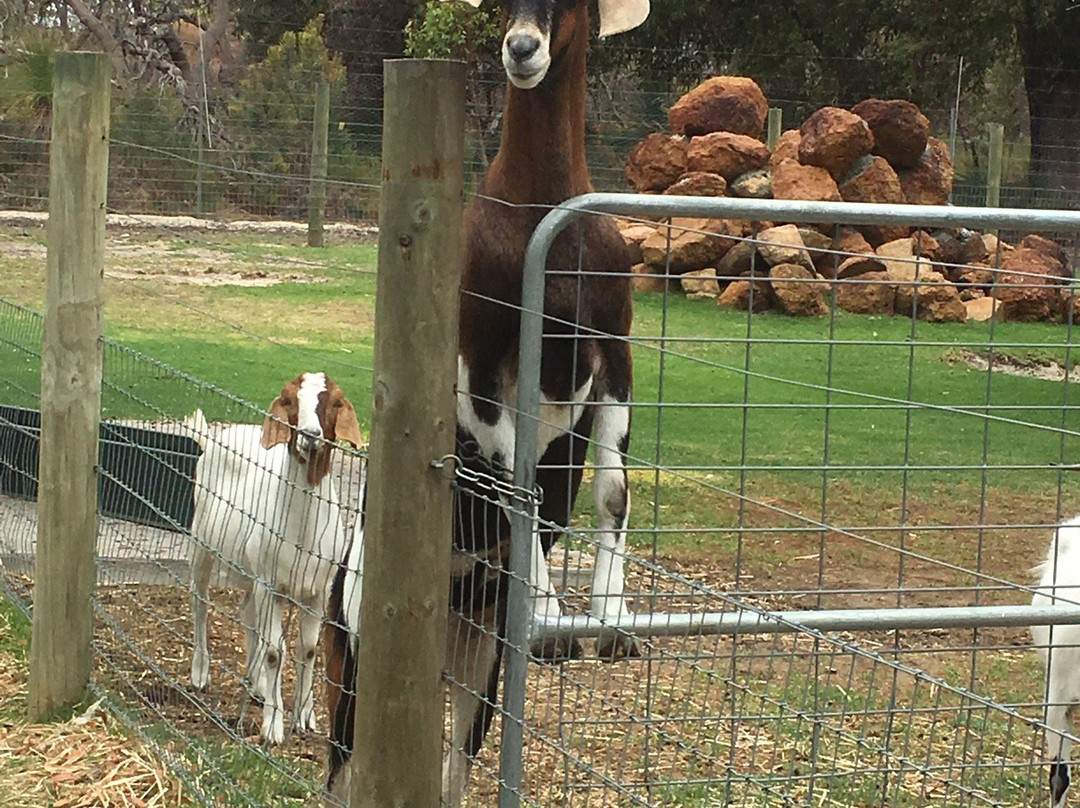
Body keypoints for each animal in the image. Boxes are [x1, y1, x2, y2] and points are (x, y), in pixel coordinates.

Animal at [189, 371, 362, 743]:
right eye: (289, 400)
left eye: (334, 402)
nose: (310, 436)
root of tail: (215, 438)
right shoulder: (271, 586)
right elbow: (274, 651)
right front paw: (273, 725)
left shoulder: (317, 590)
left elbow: (308, 649)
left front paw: (305, 717)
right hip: (201, 544)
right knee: (200, 601)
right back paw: (200, 672)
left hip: (249, 567)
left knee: (246, 611)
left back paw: (255, 685)